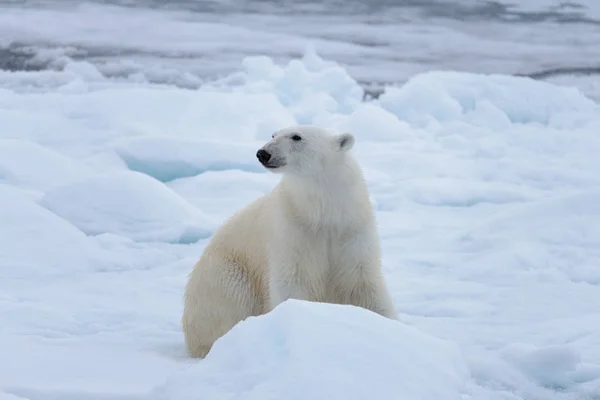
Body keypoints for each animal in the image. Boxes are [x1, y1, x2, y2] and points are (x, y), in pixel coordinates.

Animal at [183, 124, 398, 356]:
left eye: (297, 137)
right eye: (273, 134)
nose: (263, 153)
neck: (323, 214)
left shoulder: (351, 230)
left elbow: (363, 284)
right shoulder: (293, 232)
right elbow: (292, 280)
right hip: (225, 273)